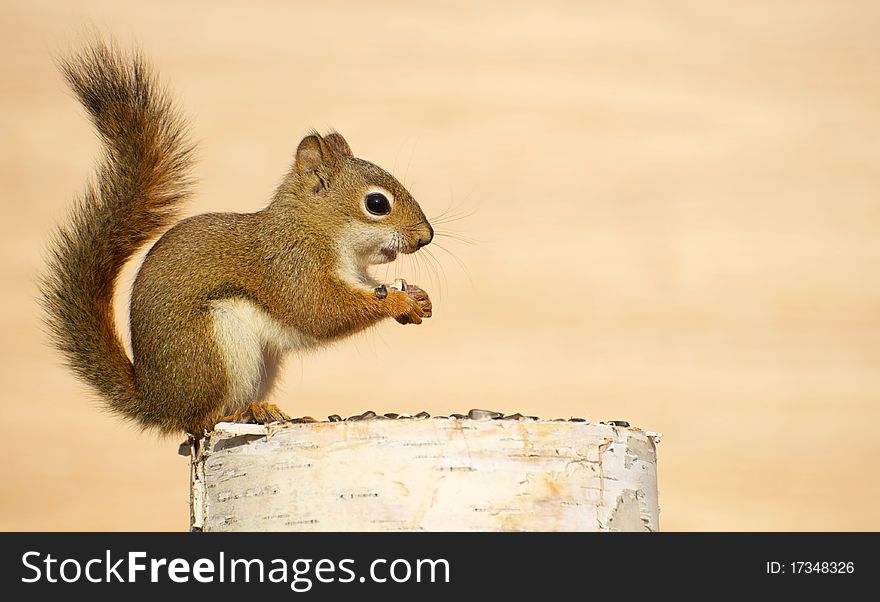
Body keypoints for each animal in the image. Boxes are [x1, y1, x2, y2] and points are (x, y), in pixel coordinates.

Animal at [41, 43, 434, 436]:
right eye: (377, 204)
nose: (425, 237)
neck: (316, 231)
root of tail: (157, 401)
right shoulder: (290, 267)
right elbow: (319, 311)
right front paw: (397, 302)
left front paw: (419, 298)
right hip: (213, 351)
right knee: (201, 421)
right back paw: (246, 414)